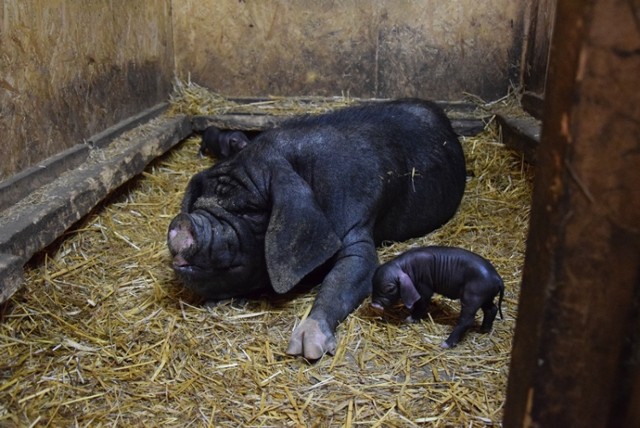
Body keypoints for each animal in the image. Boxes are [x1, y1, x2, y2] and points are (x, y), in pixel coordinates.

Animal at [165, 98, 464, 360]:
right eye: (200, 201)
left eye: (248, 209)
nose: (184, 221)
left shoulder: (357, 225)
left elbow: (346, 277)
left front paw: (306, 347)